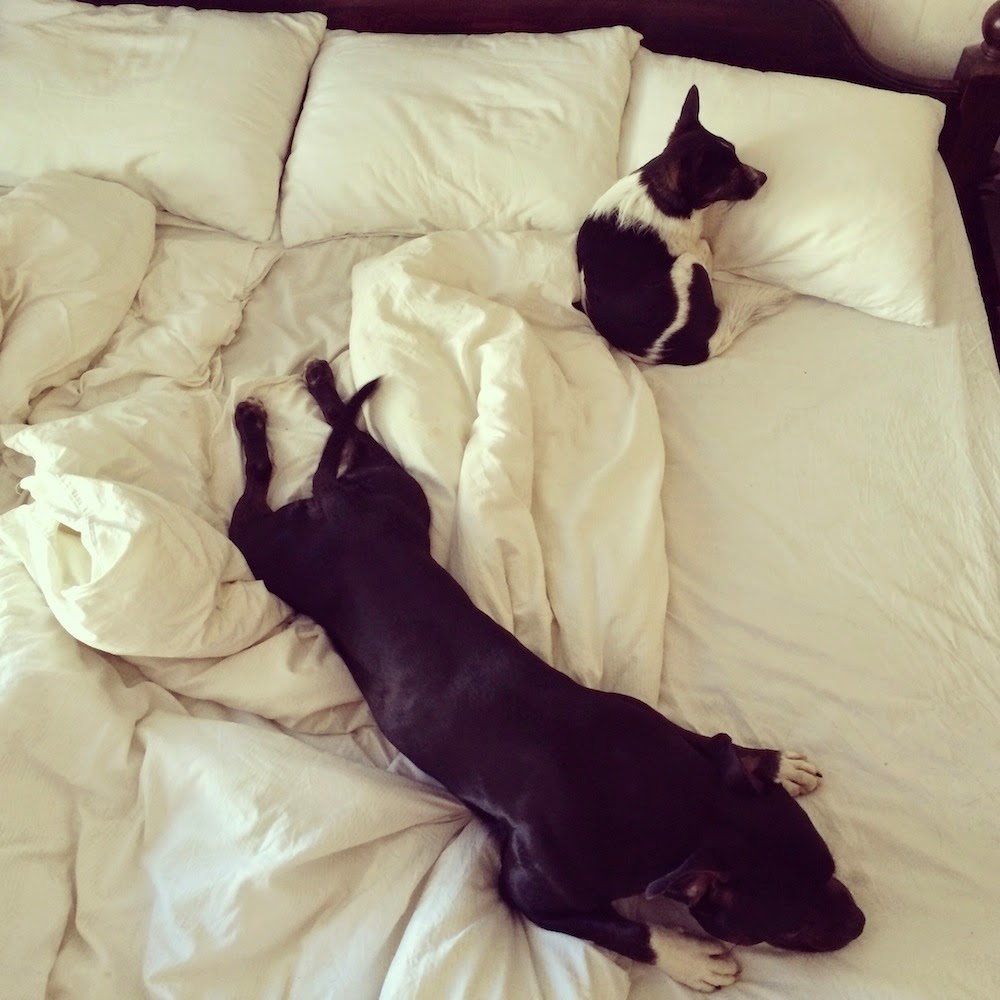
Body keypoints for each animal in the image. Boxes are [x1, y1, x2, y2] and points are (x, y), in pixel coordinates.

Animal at [229, 360, 865, 993]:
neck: (681, 800)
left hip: (398, 492)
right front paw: (687, 956)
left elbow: (711, 738)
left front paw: (778, 764)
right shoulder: (529, 893)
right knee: (250, 499)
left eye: (832, 869)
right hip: (267, 554)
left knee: (348, 435)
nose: (860, 923)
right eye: (785, 926)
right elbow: (621, 928)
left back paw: (316, 384)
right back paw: (250, 425)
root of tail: (332, 507)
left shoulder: (660, 728)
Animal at [575, 84, 773, 365]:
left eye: (737, 156)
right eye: (731, 174)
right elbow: (705, 244)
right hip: (689, 267)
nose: (764, 177)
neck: (654, 187)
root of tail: (696, 347)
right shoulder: (692, 246)